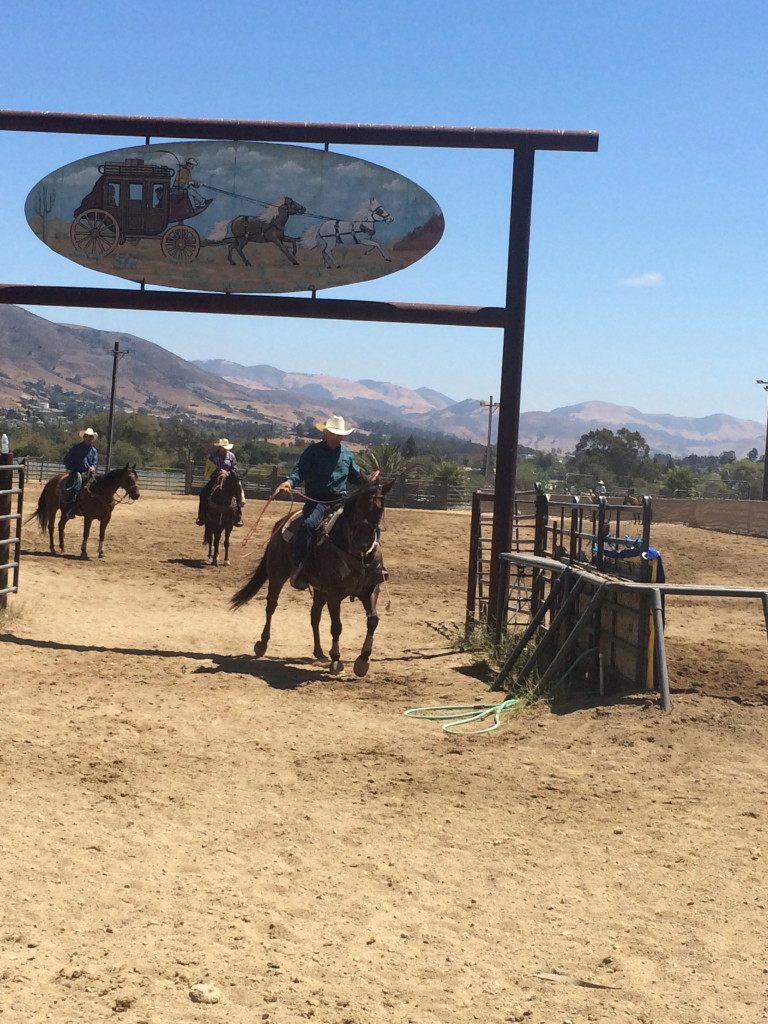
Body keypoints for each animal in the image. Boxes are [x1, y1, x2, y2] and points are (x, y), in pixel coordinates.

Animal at [231, 481, 393, 679]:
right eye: (359, 507)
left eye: (379, 509)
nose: (363, 544)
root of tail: (280, 523)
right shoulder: (334, 594)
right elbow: (336, 626)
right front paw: (336, 660)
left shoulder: (370, 590)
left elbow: (373, 621)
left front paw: (363, 661)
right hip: (278, 574)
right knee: (271, 606)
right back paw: (262, 644)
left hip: (319, 588)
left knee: (314, 614)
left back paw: (319, 652)